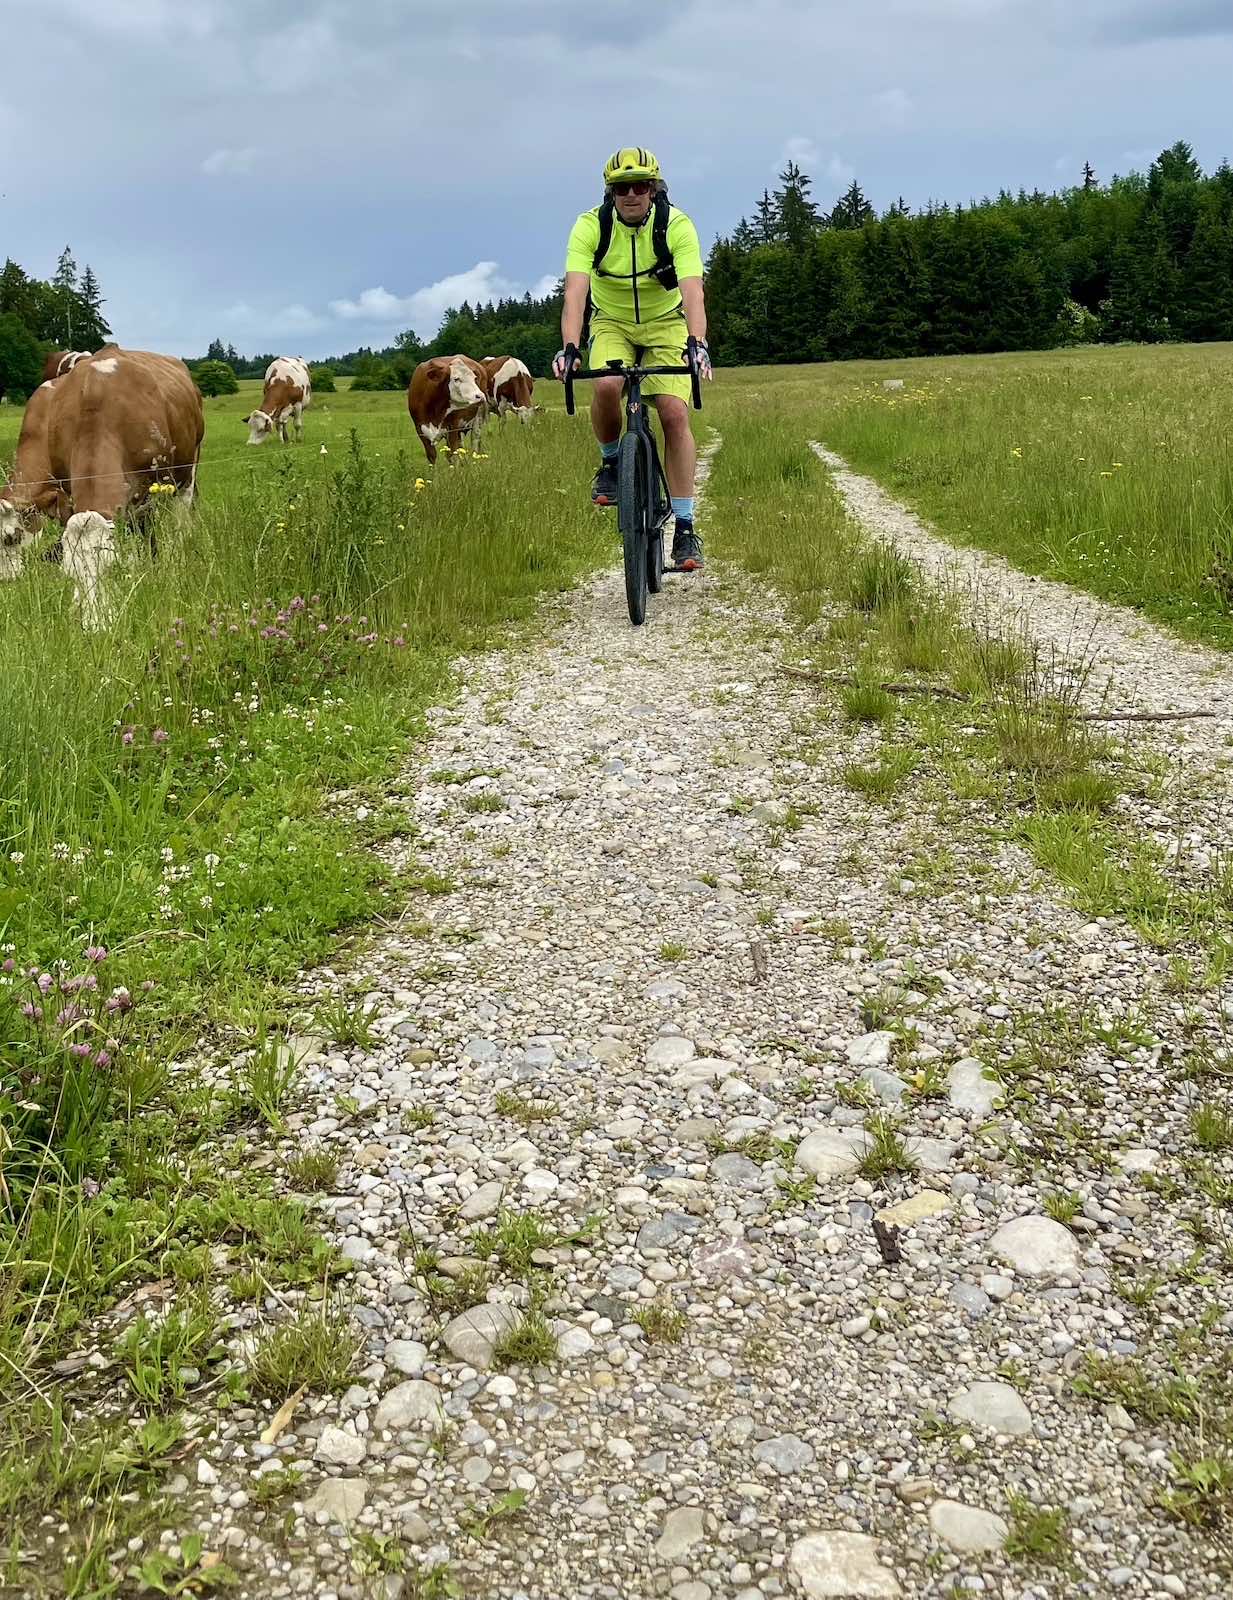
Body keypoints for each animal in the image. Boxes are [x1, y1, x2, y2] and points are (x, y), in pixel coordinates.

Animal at [36, 344, 202, 624]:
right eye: (70, 573)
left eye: (112, 568)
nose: (96, 626)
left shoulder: (145, 492)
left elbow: (144, 540)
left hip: (187, 470)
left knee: (180, 519)